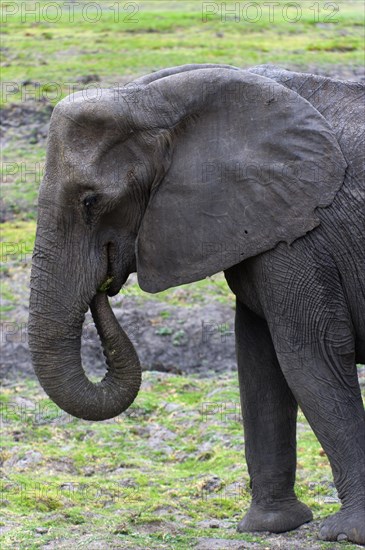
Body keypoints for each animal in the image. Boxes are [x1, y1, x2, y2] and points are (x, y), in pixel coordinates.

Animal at [29, 64, 364, 548]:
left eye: (91, 202)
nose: (104, 285)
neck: (152, 101)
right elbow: (259, 362)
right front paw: (269, 526)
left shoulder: (304, 234)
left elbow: (310, 356)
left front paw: (346, 533)